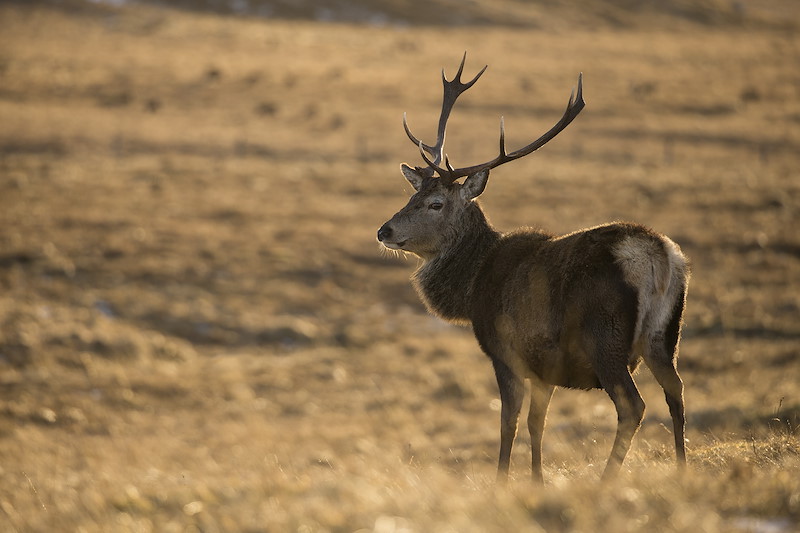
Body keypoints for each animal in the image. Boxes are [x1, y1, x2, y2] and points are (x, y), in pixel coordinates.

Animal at [377, 54, 690, 483]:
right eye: (411, 195)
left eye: (436, 204)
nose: (384, 231)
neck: (472, 287)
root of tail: (657, 254)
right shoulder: (545, 363)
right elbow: (537, 423)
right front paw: (537, 480)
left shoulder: (504, 351)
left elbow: (508, 422)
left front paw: (502, 481)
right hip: (664, 335)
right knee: (677, 392)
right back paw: (684, 469)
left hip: (605, 335)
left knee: (633, 405)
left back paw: (606, 480)